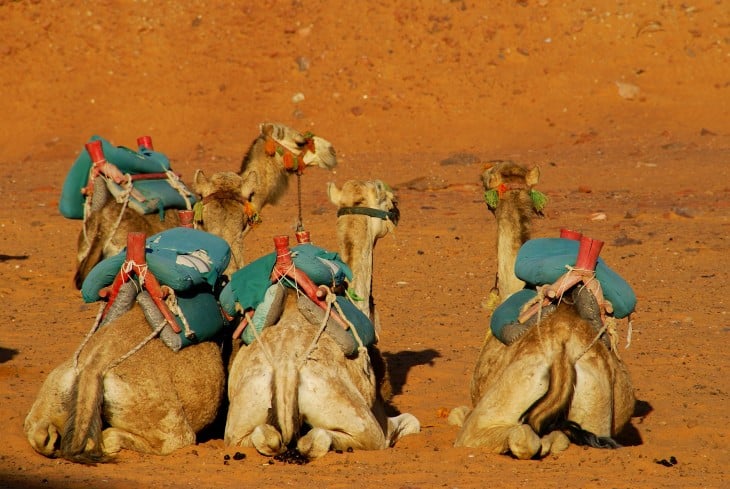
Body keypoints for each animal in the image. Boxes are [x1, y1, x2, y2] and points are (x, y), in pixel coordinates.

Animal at [222, 178, 418, 458]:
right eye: (389, 200)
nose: (397, 210)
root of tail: (286, 369)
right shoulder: (383, 420)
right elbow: (411, 421)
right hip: (359, 422)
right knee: (319, 438)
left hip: (240, 419)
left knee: (263, 436)